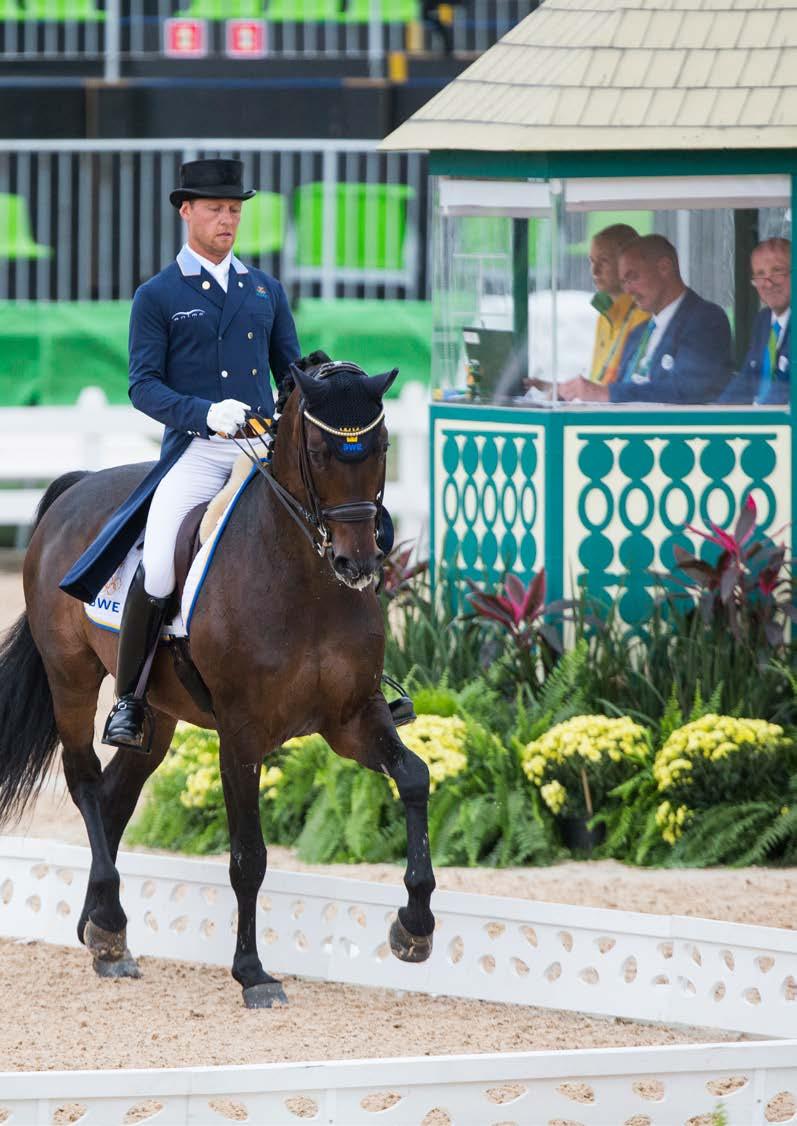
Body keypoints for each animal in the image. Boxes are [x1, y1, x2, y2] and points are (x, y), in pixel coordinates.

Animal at [0, 355, 436, 1008]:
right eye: (317, 450)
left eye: (381, 446)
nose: (357, 565)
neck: (304, 581)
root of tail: (75, 488)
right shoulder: (241, 733)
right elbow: (248, 856)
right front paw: (253, 973)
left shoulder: (352, 718)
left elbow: (413, 777)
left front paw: (414, 928)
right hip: (70, 678)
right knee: (84, 783)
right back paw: (109, 923)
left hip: (156, 711)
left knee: (116, 793)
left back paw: (104, 931)